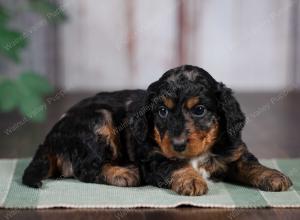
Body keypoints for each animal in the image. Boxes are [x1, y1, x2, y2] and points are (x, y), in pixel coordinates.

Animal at [22, 64, 292, 195]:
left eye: (200, 110)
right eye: (162, 111)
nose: (178, 144)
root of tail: (50, 137)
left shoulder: (234, 151)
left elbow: (250, 164)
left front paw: (274, 176)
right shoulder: (152, 157)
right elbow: (173, 164)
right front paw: (190, 180)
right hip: (100, 119)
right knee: (85, 169)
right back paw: (123, 173)